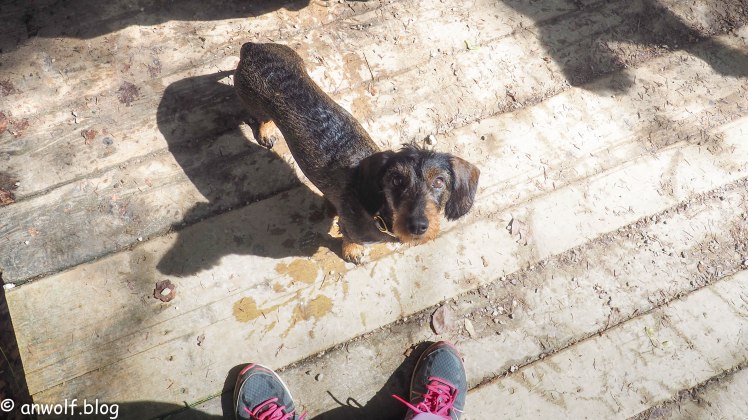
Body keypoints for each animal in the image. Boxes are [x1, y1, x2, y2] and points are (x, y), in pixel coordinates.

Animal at [234, 42, 480, 263]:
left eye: (439, 182)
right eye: (396, 180)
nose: (418, 226)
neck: (378, 209)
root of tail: (251, 48)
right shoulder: (351, 228)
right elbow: (350, 239)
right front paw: (353, 251)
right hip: (254, 103)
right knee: (262, 118)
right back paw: (266, 131)